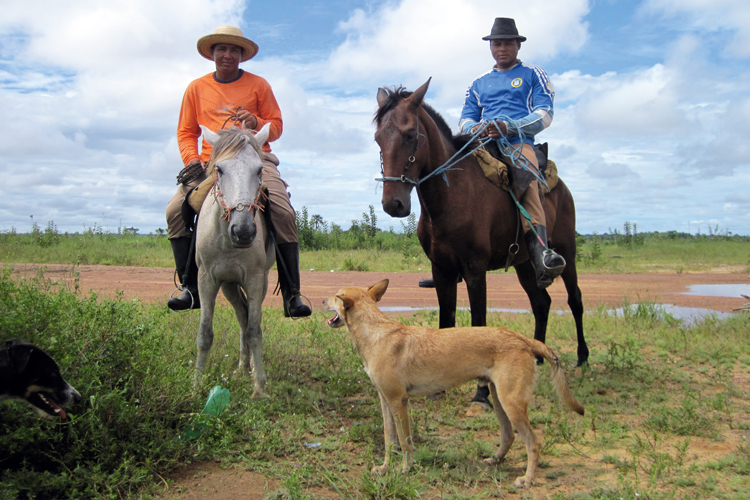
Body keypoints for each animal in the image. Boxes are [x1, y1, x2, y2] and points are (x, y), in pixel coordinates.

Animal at [194, 123, 276, 396]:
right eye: (219, 169)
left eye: (259, 169)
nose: (243, 231)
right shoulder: (206, 279)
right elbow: (205, 334)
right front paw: (195, 384)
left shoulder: (255, 279)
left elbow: (255, 331)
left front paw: (259, 386)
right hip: (228, 284)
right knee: (241, 316)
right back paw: (242, 367)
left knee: (249, 319)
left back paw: (248, 366)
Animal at [326, 280, 584, 490]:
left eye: (335, 296)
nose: (321, 299)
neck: (374, 332)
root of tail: (525, 340)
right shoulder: (386, 400)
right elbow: (390, 439)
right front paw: (385, 469)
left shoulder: (398, 401)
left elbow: (405, 442)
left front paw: (405, 470)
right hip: (500, 400)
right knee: (509, 436)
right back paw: (495, 461)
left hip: (512, 403)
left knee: (534, 443)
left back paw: (527, 480)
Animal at [374, 80, 588, 386]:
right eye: (378, 139)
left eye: (410, 135)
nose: (393, 204)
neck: (451, 196)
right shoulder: (442, 270)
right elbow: (446, 321)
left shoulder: (475, 271)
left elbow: (479, 324)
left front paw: (482, 389)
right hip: (525, 264)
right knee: (541, 303)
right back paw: (537, 356)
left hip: (567, 252)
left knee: (575, 300)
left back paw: (583, 357)